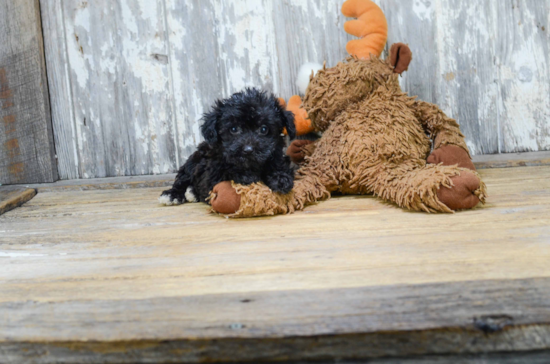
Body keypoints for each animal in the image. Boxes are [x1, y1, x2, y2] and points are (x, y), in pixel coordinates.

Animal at [160, 88, 298, 206]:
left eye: (264, 129)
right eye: (234, 129)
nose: (248, 150)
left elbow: (277, 166)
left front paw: (280, 178)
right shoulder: (212, 176)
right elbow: (228, 173)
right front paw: (245, 176)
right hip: (193, 162)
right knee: (182, 179)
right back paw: (173, 195)